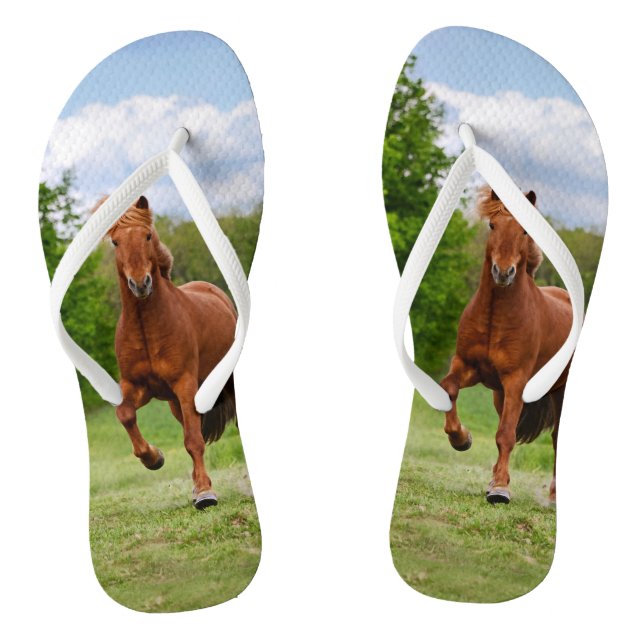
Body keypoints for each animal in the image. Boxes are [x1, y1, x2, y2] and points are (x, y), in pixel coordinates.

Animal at [107, 196, 237, 509]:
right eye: (115, 242)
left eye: (147, 236)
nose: (140, 283)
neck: (148, 330)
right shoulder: (139, 387)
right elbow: (125, 414)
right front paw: (154, 458)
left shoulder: (184, 384)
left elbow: (193, 440)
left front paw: (205, 494)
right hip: (177, 404)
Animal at [439, 187, 572, 504]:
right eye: (492, 225)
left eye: (524, 230)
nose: (503, 272)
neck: (495, 319)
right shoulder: (468, 367)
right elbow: (448, 390)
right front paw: (461, 439)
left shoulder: (515, 382)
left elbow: (506, 435)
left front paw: (500, 489)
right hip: (500, 395)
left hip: (559, 392)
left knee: (556, 438)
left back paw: (553, 496)